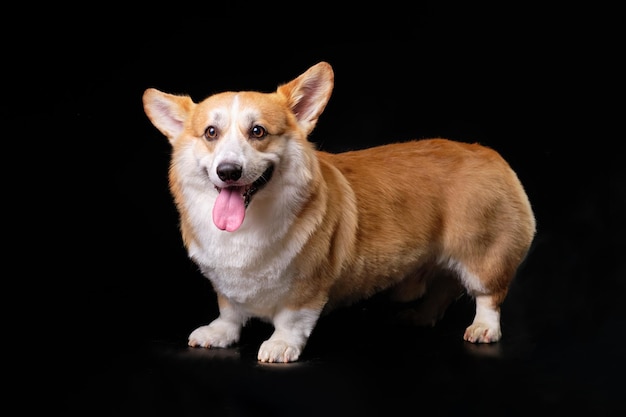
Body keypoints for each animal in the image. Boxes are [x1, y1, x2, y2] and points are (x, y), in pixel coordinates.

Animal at [144, 61, 532, 360]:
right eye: (211, 132)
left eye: (257, 131)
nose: (228, 171)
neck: (250, 226)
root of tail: (489, 153)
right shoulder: (225, 285)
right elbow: (229, 311)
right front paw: (219, 332)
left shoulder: (307, 286)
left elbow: (291, 320)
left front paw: (280, 345)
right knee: (442, 288)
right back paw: (421, 317)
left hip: (482, 255)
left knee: (488, 295)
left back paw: (482, 327)